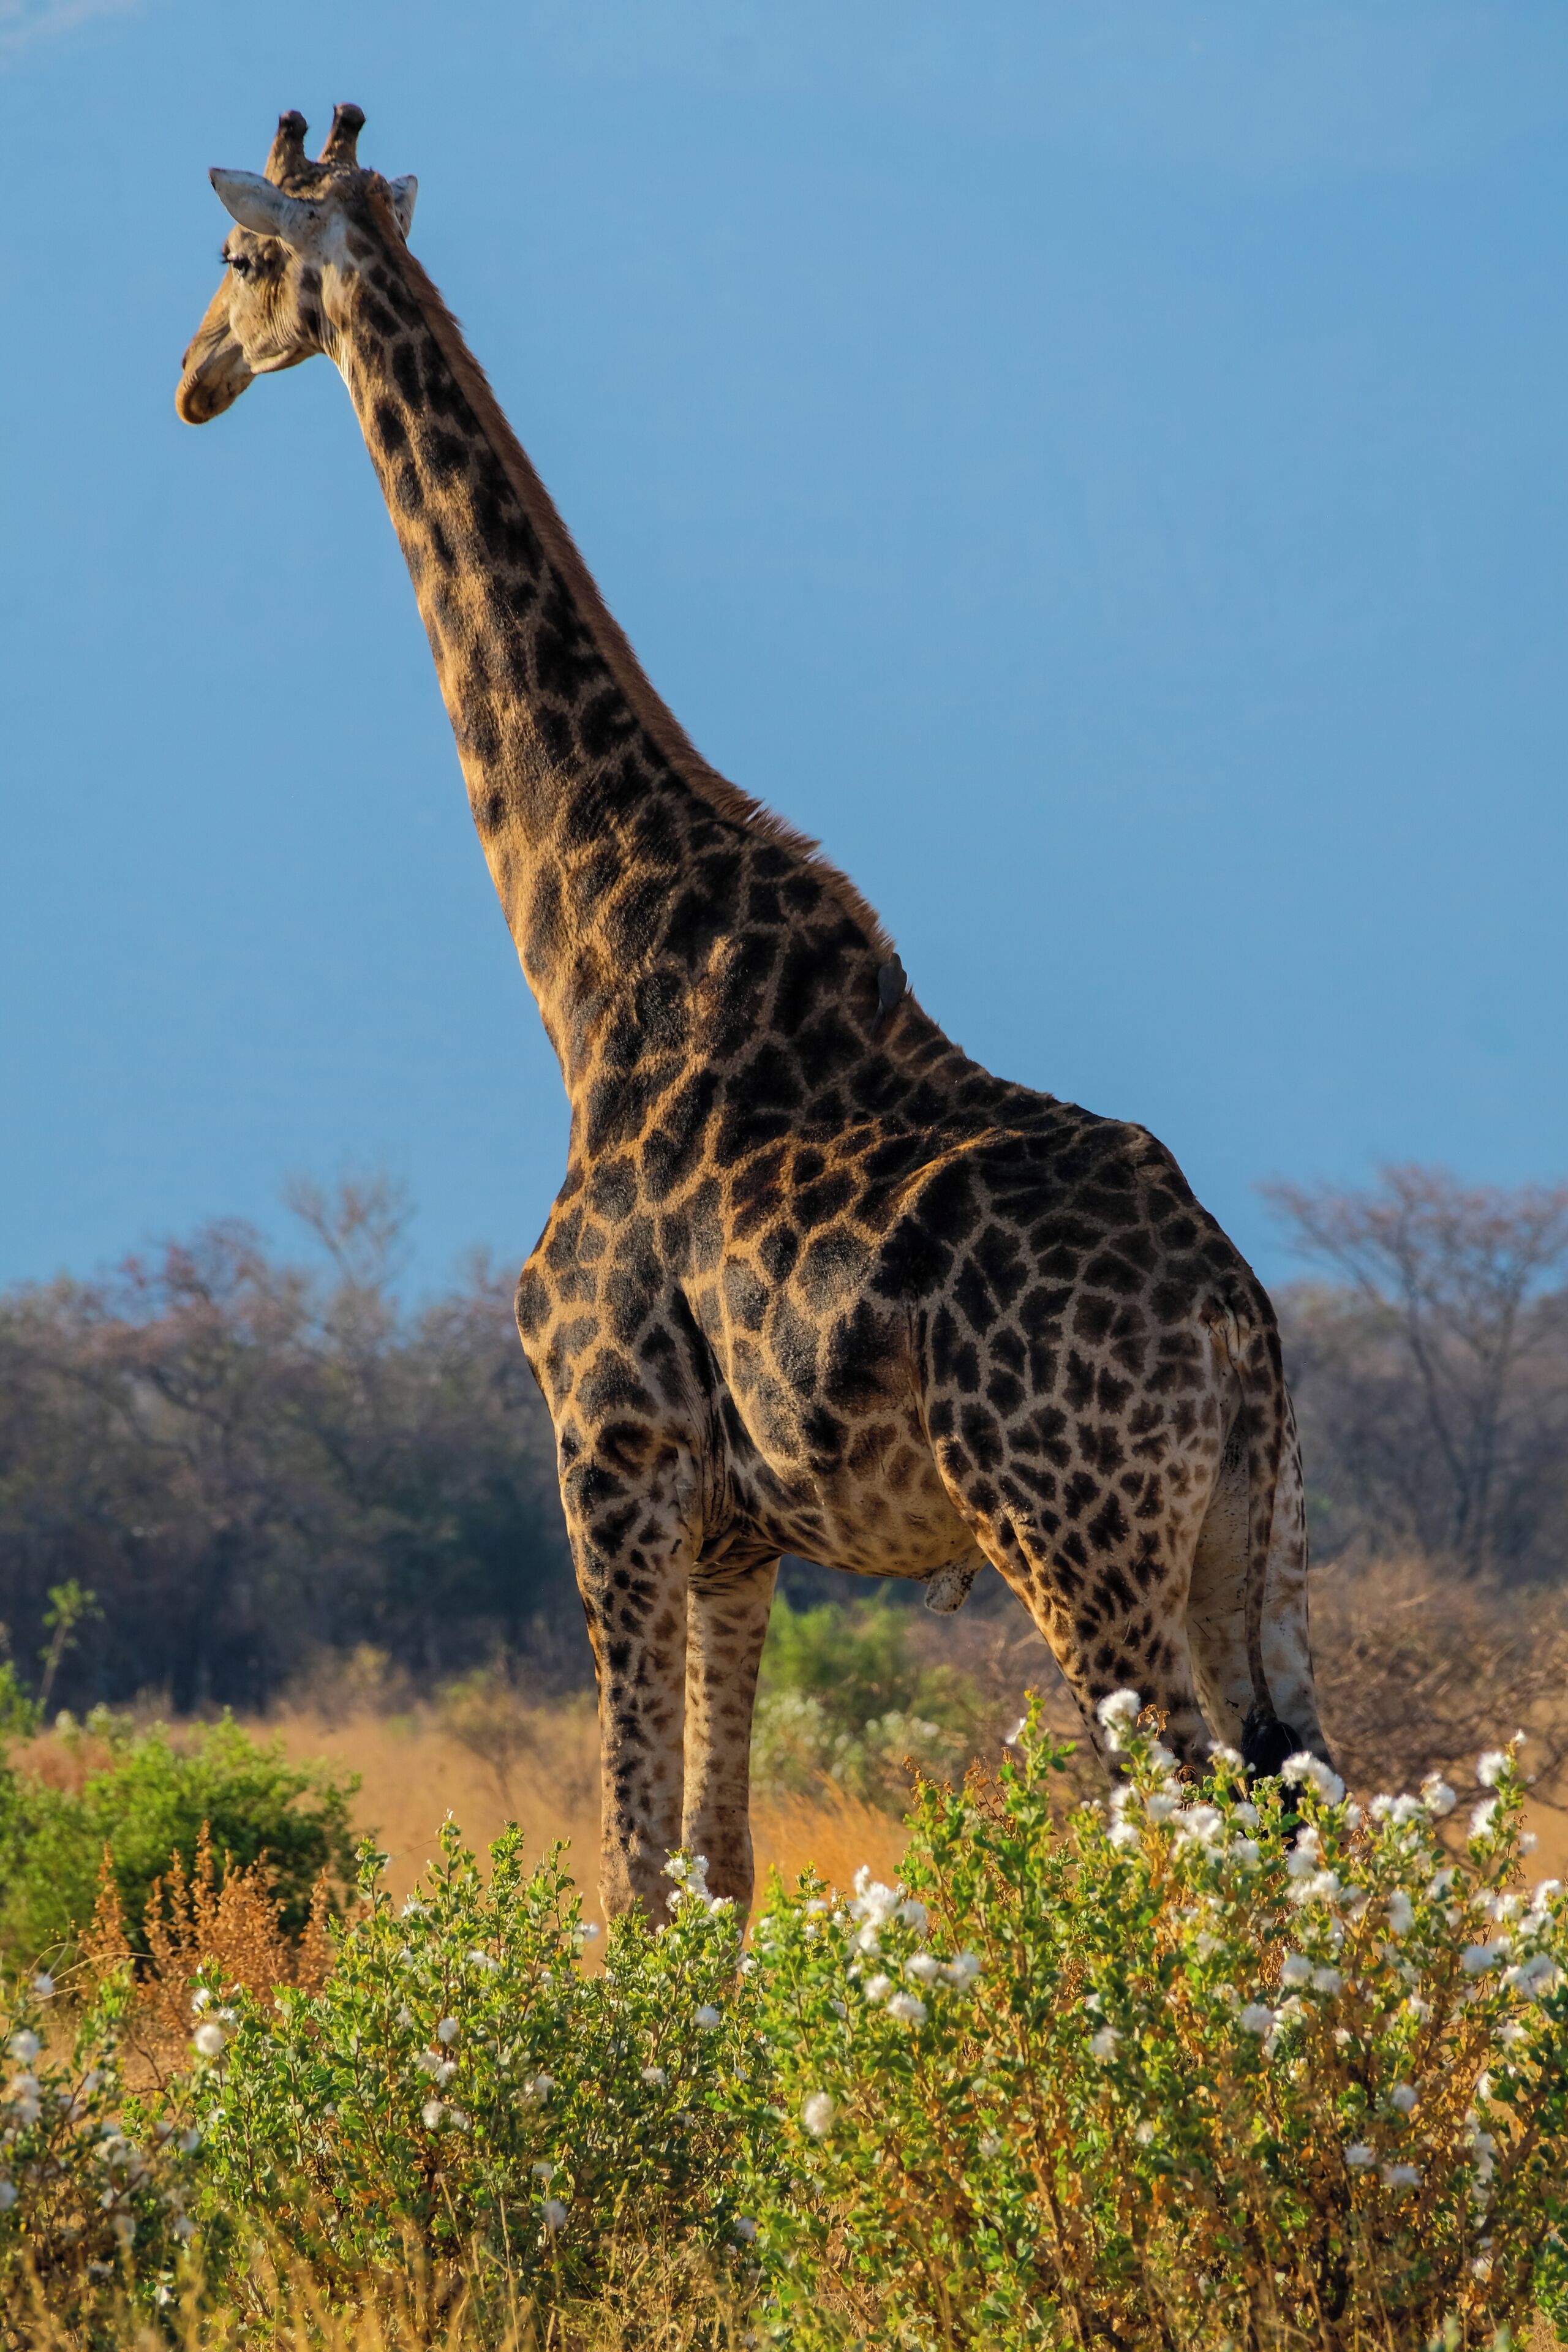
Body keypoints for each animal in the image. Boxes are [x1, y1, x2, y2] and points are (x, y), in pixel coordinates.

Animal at [178, 107, 1333, 1919]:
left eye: (237, 259)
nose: (192, 381)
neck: (591, 967)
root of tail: (1233, 1312)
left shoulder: (610, 1458)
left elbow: (635, 1864)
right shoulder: (740, 1536)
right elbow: (719, 1862)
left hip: (1075, 1538)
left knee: (1195, 1823)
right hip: (1250, 1538)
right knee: (1310, 1802)